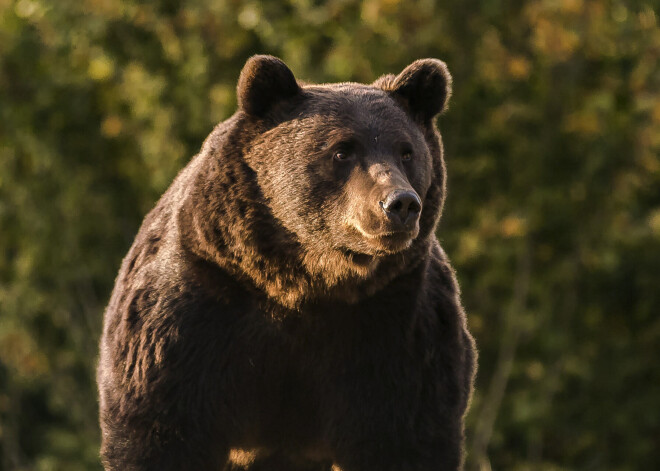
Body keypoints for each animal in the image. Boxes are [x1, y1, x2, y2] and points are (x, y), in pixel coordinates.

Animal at [96, 55, 474, 471]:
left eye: (406, 152)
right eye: (342, 150)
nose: (401, 203)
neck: (303, 283)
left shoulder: (395, 326)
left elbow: (403, 434)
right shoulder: (196, 310)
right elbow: (161, 428)